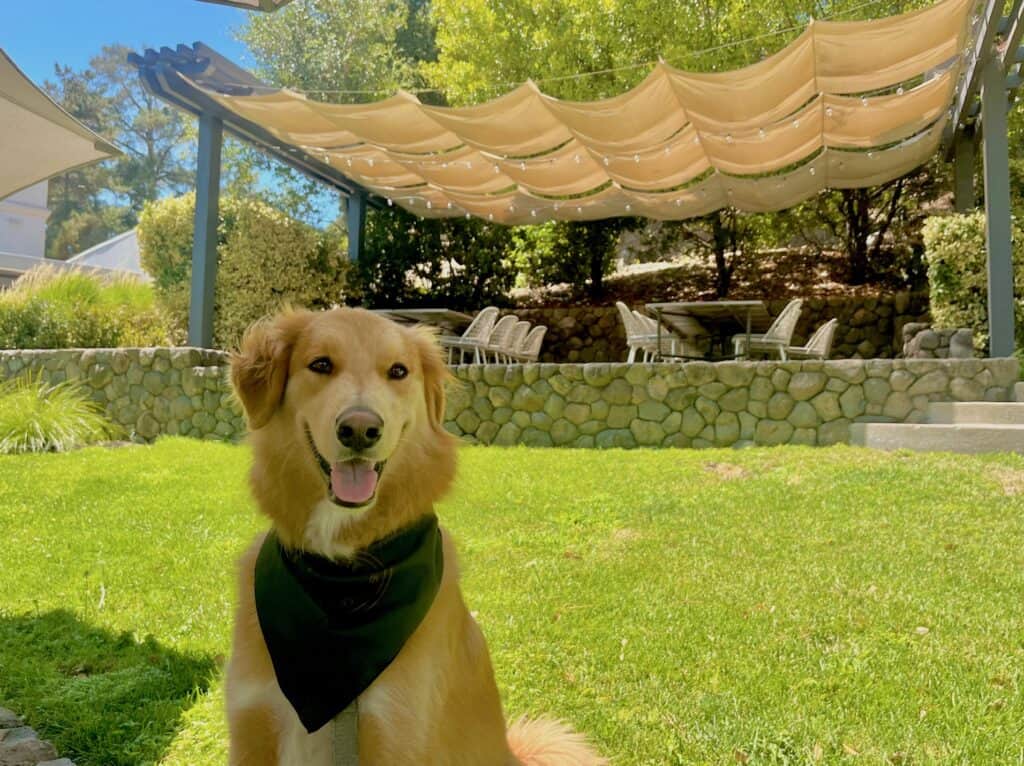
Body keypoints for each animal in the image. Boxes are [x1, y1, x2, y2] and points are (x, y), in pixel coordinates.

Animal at [226, 307, 606, 766]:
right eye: (320, 364)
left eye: (398, 371)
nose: (360, 429)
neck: (343, 577)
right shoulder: (251, 725)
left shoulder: (395, 732)